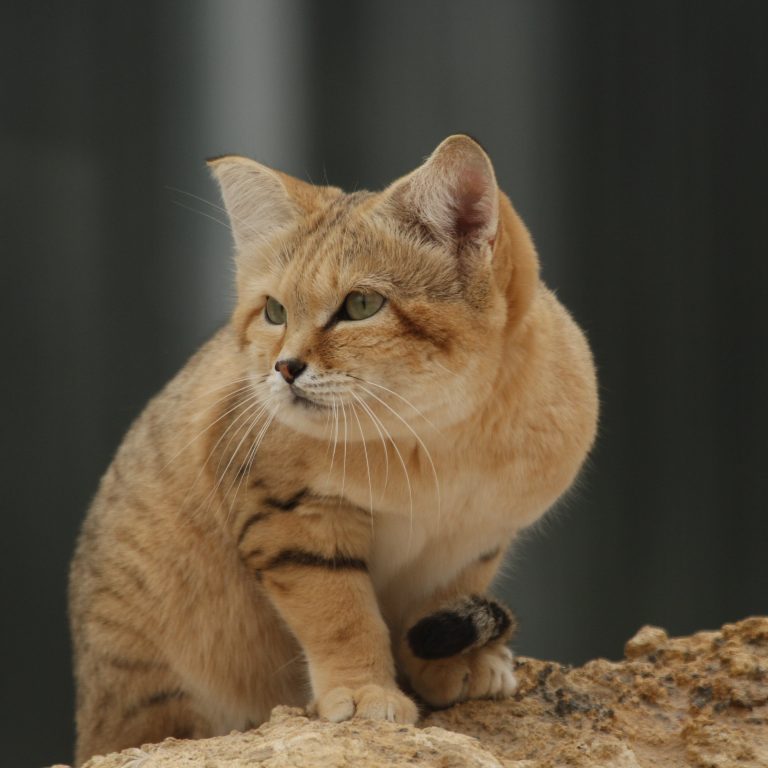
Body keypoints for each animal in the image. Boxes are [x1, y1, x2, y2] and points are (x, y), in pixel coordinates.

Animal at [69, 135, 596, 764]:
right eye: (274, 311)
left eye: (362, 305)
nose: (284, 367)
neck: (442, 440)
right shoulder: (292, 518)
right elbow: (341, 616)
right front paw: (366, 691)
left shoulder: (474, 540)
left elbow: (437, 600)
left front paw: (448, 666)